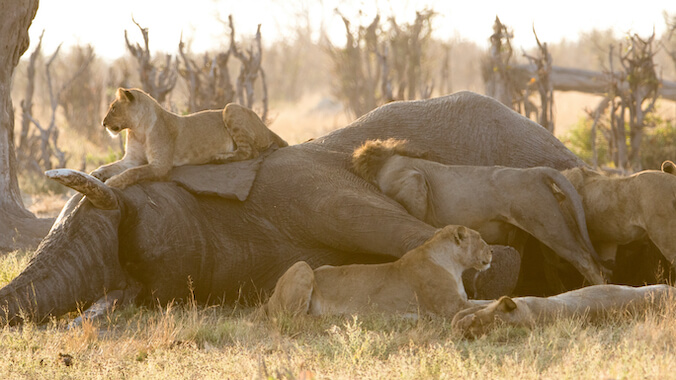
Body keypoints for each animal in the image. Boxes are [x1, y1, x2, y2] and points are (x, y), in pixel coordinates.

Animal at [91, 87, 286, 189]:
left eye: (113, 107)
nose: (102, 123)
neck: (138, 129)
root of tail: (267, 128)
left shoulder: (160, 166)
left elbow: (134, 172)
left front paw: (113, 181)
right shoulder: (131, 159)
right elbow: (111, 166)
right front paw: (96, 174)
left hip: (231, 108)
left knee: (250, 152)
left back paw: (219, 158)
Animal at [264, 226, 492, 318]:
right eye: (481, 238)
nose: (491, 251)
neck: (455, 267)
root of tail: (269, 300)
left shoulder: (460, 301)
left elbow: (487, 301)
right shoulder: (451, 307)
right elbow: (483, 305)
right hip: (301, 265)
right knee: (294, 318)